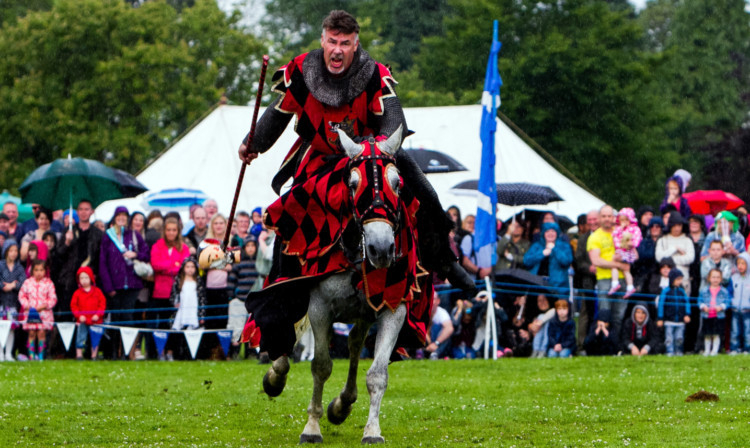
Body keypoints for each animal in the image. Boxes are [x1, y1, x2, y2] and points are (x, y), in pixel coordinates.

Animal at [258, 123, 426, 444]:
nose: (382, 249)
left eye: (397, 183)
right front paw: (311, 428)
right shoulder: (320, 308)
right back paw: (276, 375)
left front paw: (372, 431)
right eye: (353, 183)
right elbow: (321, 366)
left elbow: (377, 374)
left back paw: (342, 404)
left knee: (354, 343)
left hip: (363, 313)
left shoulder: (392, 307)